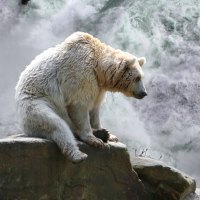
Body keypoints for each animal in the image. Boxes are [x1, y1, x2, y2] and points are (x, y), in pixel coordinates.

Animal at [14, 31, 147, 162]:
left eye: (142, 77)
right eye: (137, 78)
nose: (144, 93)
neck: (98, 67)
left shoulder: (98, 87)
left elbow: (95, 109)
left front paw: (110, 135)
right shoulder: (80, 74)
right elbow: (79, 105)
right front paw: (95, 140)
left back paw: (102, 133)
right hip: (35, 103)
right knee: (56, 124)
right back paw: (79, 155)